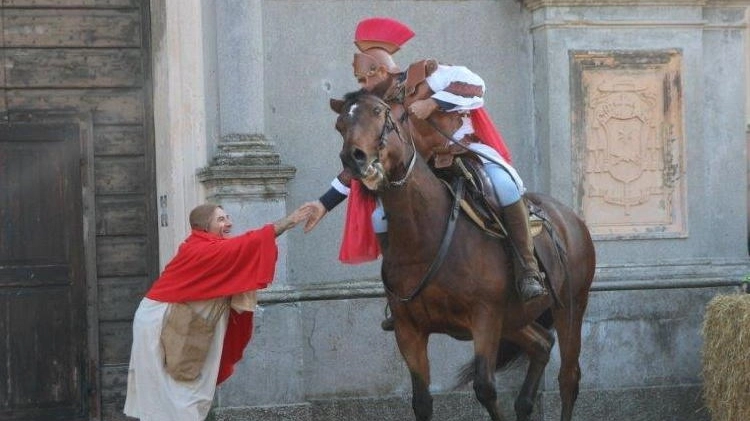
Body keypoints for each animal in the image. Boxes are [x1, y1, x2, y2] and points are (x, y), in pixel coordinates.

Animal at [332, 91, 596, 420]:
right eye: (340, 124)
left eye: (380, 113)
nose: (353, 158)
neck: (424, 238)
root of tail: (570, 219)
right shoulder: (408, 330)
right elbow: (422, 401)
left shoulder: (485, 317)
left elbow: (485, 388)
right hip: (514, 319)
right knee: (542, 345)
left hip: (571, 305)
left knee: (568, 378)